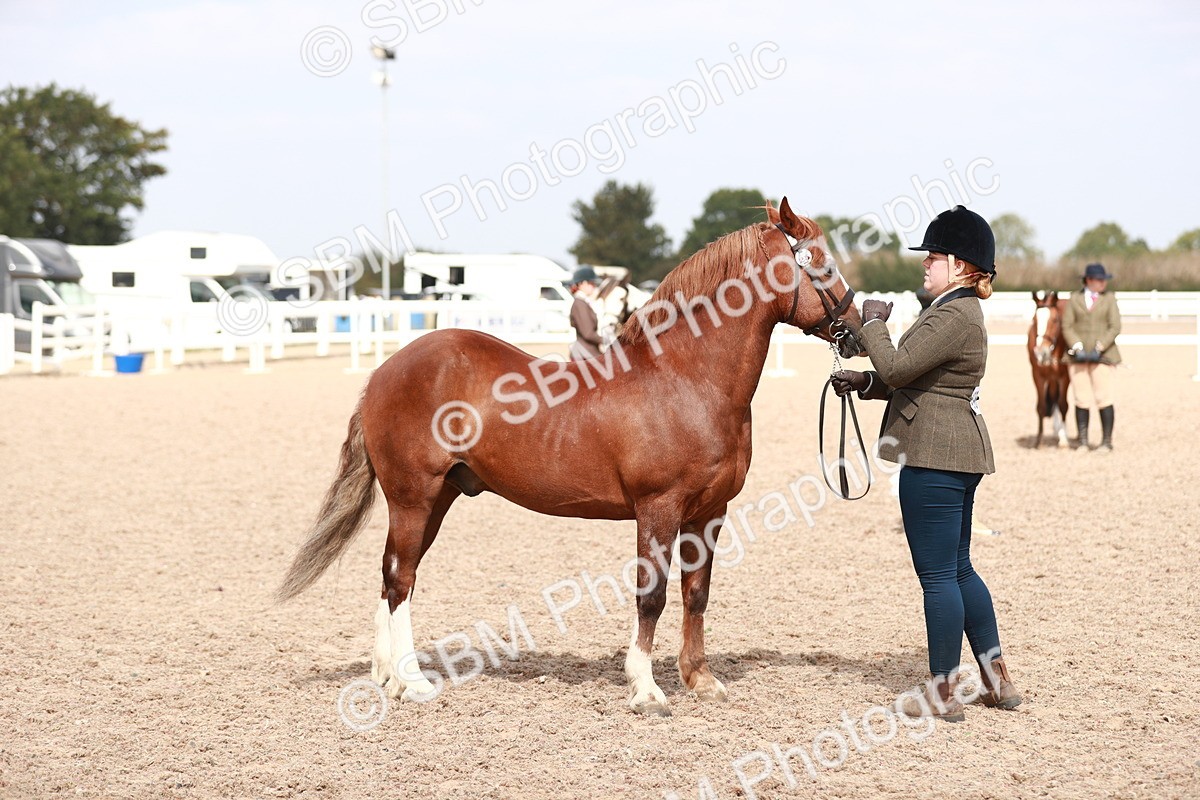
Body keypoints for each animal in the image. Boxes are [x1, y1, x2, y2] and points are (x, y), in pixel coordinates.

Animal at [277, 197, 864, 716]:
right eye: (821, 262)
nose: (857, 329)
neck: (686, 379)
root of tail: (383, 373)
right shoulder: (659, 509)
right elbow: (651, 595)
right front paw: (647, 690)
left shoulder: (709, 512)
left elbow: (696, 593)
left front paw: (701, 680)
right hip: (413, 496)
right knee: (401, 578)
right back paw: (414, 683)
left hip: (436, 497)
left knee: (393, 572)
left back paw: (387, 675)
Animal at [1028, 290, 1071, 448]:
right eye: (1034, 320)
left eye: (1055, 320)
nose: (1041, 352)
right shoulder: (1037, 376)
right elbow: (1041, 406)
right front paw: (1038, 440)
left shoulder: (1064, 378)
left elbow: (1063, 405)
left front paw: (1064, 439)